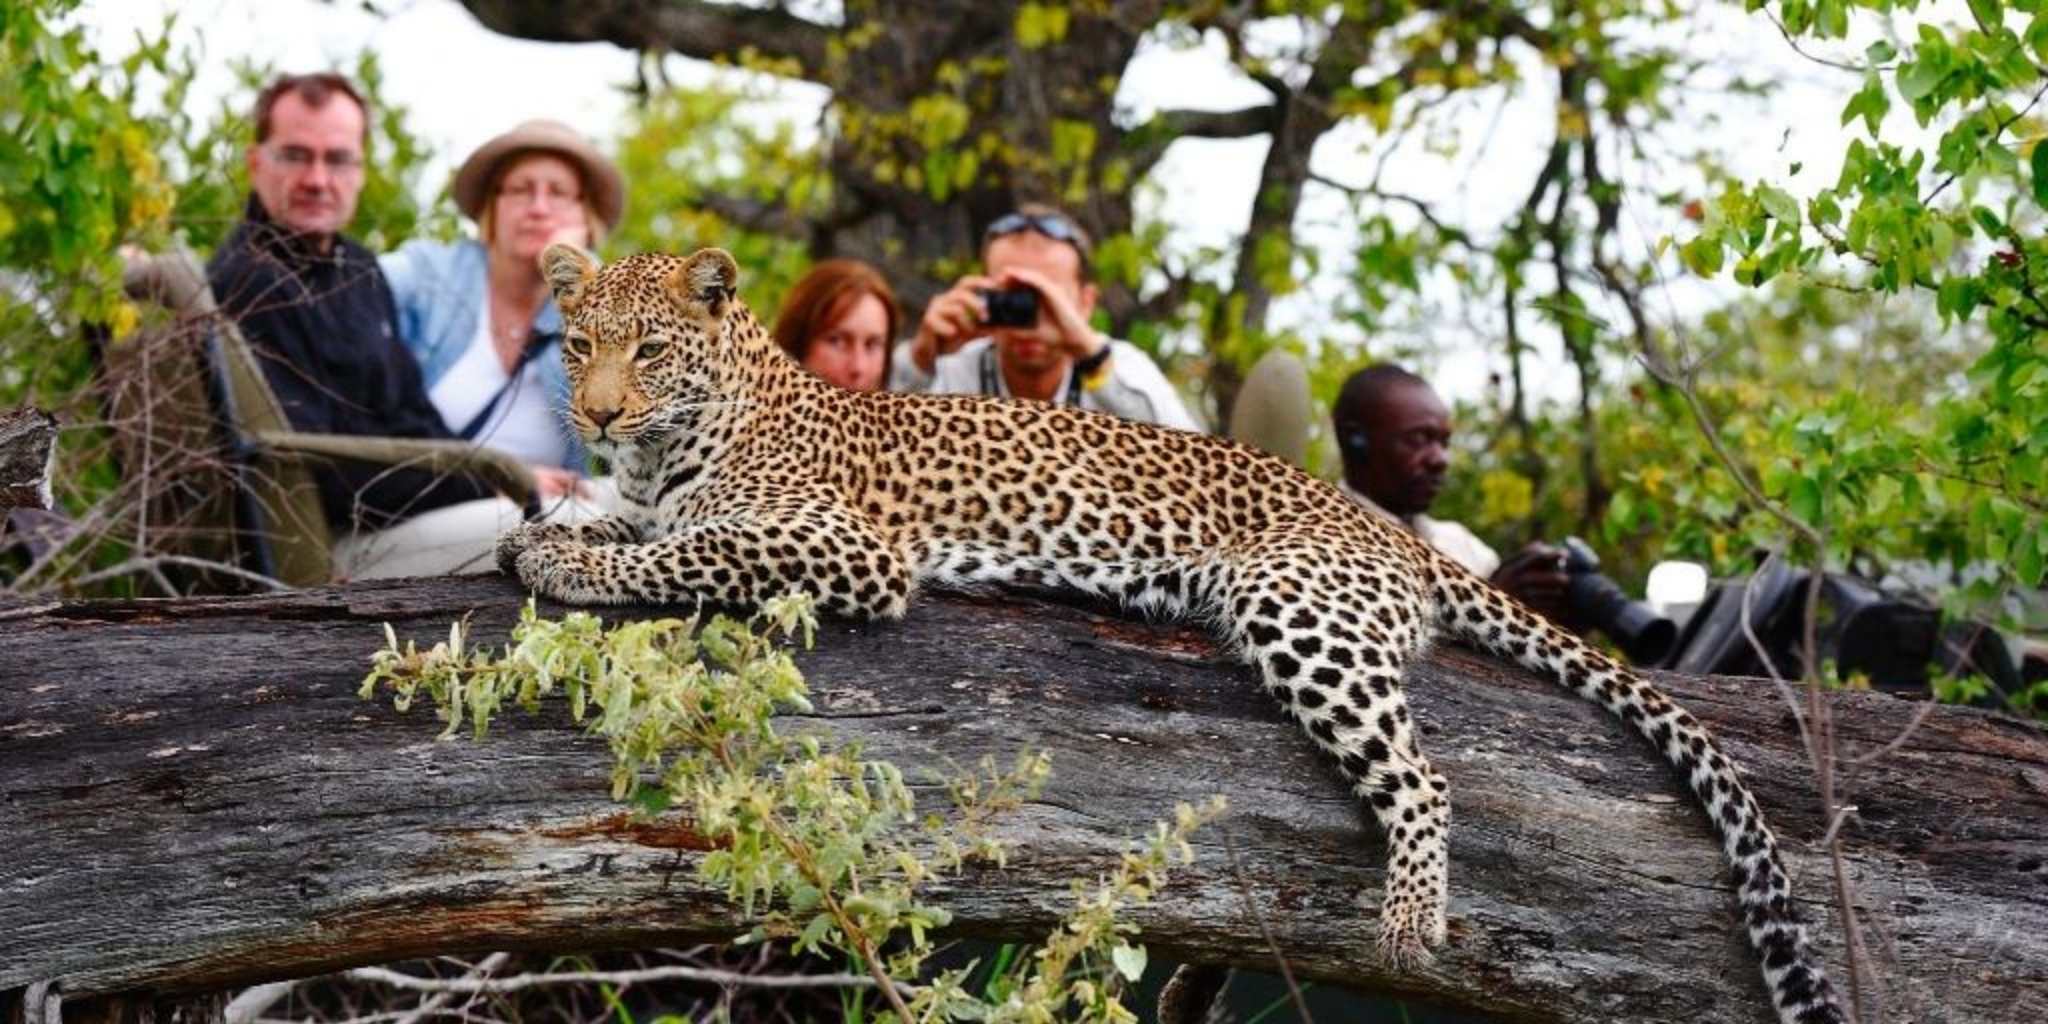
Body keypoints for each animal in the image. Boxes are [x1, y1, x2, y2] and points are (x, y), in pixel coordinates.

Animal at [497, 243, 1844, 1024]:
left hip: (1299, 610)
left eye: (650, 347)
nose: (597, 412)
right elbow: (626, 521)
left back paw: (1408, 919)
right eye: (582, 344)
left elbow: (684, 551)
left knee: (1423, 775)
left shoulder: (847, 549)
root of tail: (1389, 529)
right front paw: (542, 530)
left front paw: (566, 559)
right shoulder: (649, 489)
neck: (680, 438)